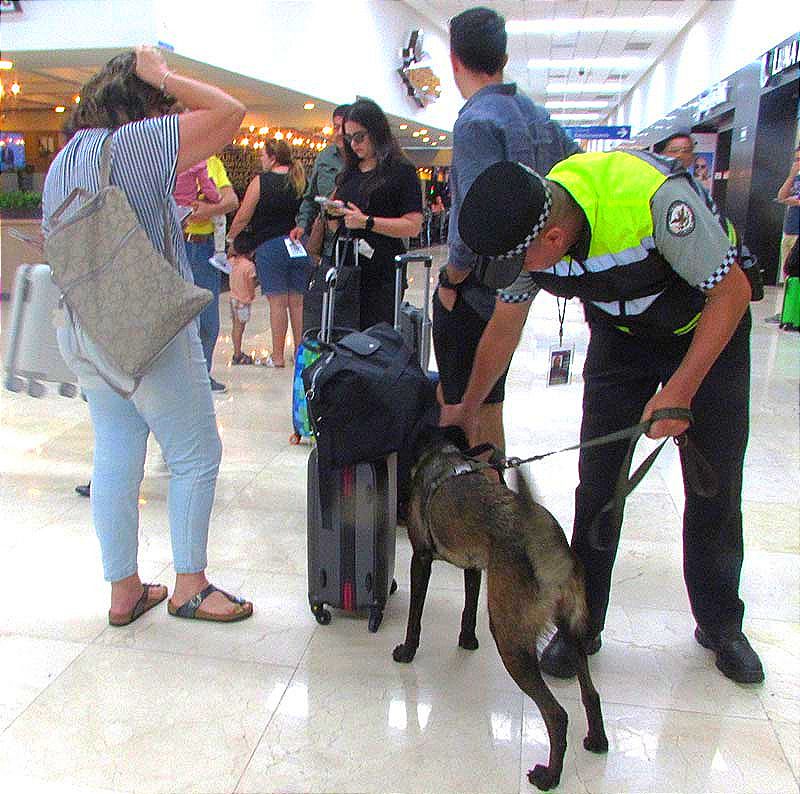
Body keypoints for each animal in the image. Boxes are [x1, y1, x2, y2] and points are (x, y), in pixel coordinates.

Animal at [394, 430, 608, 788]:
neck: (443, 455)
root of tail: (549, 546)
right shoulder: (474, 567)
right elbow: (468, 608)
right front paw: (467, 641)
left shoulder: (421, 558)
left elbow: (415, 616)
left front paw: (407, 650)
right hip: (572, 627)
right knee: (590, 692)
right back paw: (597, 740)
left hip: (510, 638)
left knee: (557, 715)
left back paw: (549, 776)